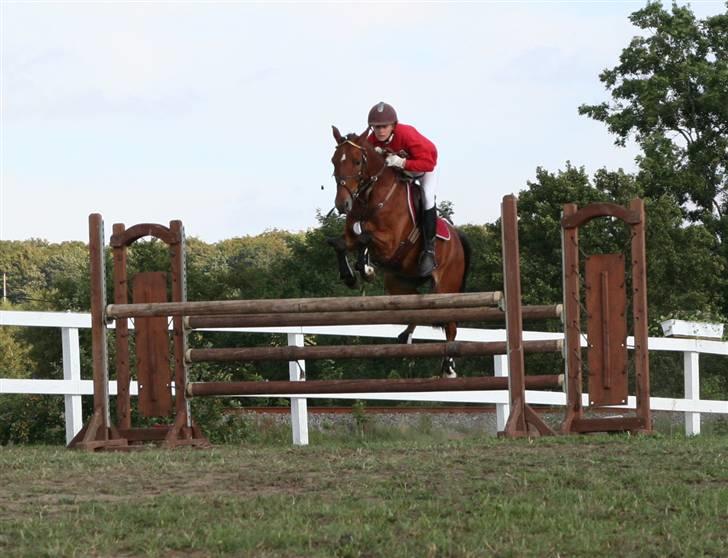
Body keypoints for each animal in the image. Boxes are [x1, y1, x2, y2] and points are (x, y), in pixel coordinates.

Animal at [328, 126, 472, 380]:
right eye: (334, 161)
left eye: (357, 162)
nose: (342, 205)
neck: (370, 196)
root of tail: (457, 237)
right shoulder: (352, 237)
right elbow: (340, 243)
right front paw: (351, 276)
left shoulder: (391, 242)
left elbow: (365, 237)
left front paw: (365, 268)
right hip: (399, 282)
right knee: (416, 305)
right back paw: (406, 336)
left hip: (445, 286)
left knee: (451, 325)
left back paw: (449, 367)